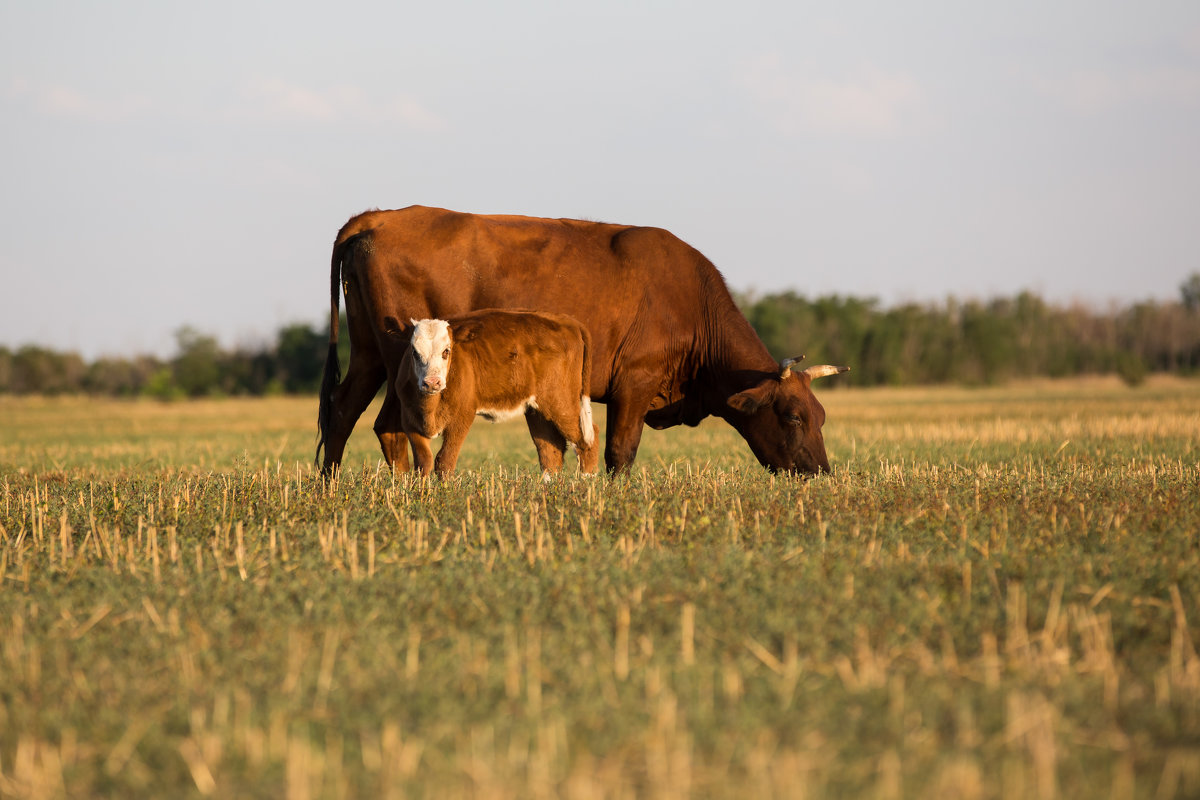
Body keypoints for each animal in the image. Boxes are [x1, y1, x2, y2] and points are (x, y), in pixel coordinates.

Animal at [393, 311, 600, 474]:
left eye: (446, 351)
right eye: (414, 352)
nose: (431, 383)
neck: (430, 409)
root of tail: (567, 320)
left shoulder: (462, 417)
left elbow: (445, 460)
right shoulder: (408, 419)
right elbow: (423, 462)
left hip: (561, 403)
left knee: (588, 440)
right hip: (538, 410)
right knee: (550, 450)